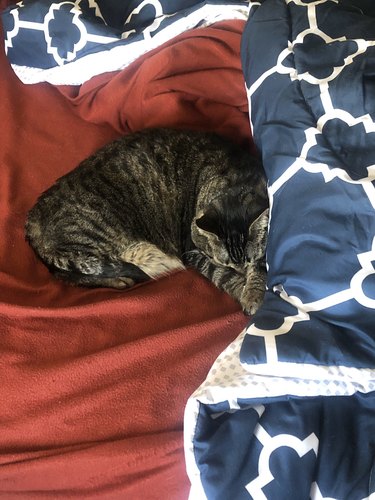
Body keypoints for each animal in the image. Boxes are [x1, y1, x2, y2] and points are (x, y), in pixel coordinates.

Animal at [25, 129, 268, 316]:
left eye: (246, 260)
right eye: (225, 262)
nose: (241, 271)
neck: (235, 177)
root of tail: (31, 220)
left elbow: (260, 266)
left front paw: (252, 289)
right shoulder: (191, 251)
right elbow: (221, 275)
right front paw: (242, 290)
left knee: (69, 276)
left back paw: (120, 281)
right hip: (92, 239)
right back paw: (122, 280)